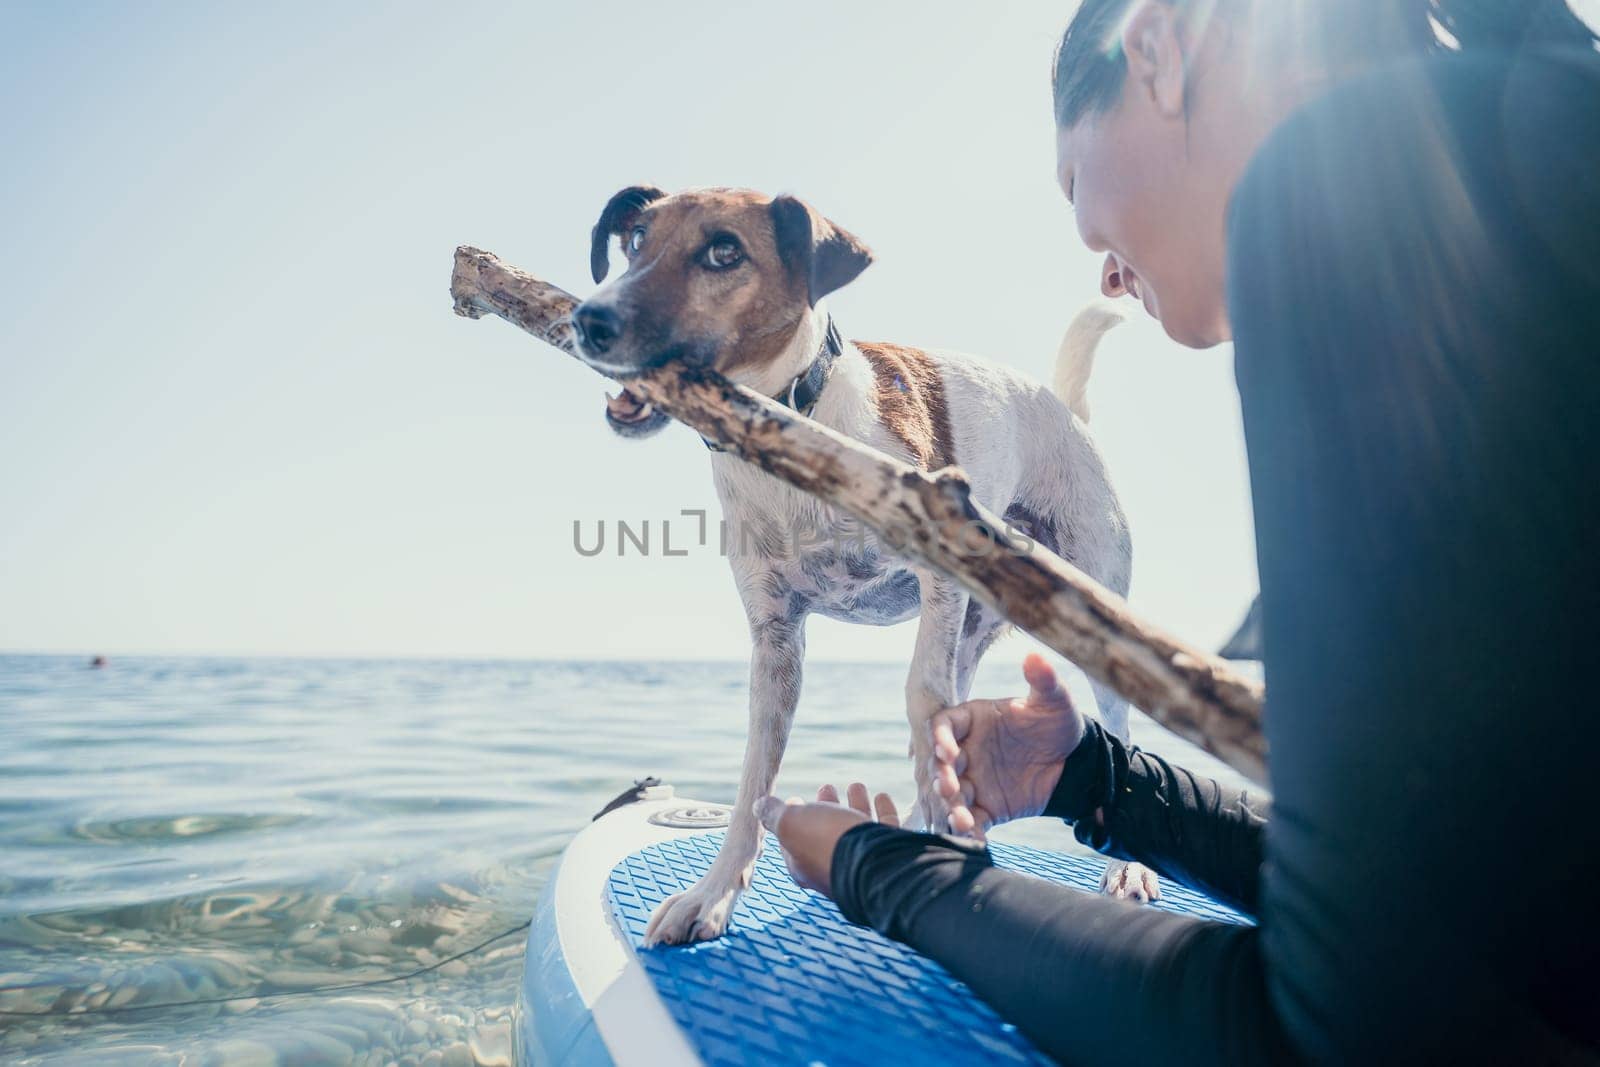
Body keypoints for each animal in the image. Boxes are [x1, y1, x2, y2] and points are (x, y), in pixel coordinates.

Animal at [576, 187, 1164, 947]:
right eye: (635, 240)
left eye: (724, 251)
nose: (588, 319)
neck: (790, 431)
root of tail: (1065, 409)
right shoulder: (775, 640)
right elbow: (754, 780)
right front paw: (711, 894)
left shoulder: (936, 570)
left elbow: (920, 699)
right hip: (969, 631)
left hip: (1091, 614)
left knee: (1105, 726)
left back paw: (1126, 868)